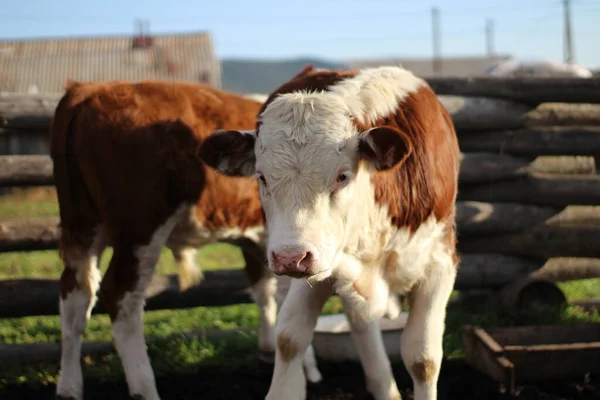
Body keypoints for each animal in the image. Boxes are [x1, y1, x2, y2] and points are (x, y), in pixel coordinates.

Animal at [49, 79, 326, 400]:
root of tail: (90, 89)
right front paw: (306, 369)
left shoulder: (262, 241)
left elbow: (266, 290)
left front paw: (271, 351)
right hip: (140, 227)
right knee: (120, 295)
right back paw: (145, 388)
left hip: (82, 222)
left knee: (75, 296)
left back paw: (69, 387)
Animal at [199, 64, 462, 398]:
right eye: (261, 177)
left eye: (342, 176)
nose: (290, 258)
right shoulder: (314, 264)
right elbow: (289, 338)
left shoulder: (439, 263)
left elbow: (423, 358)